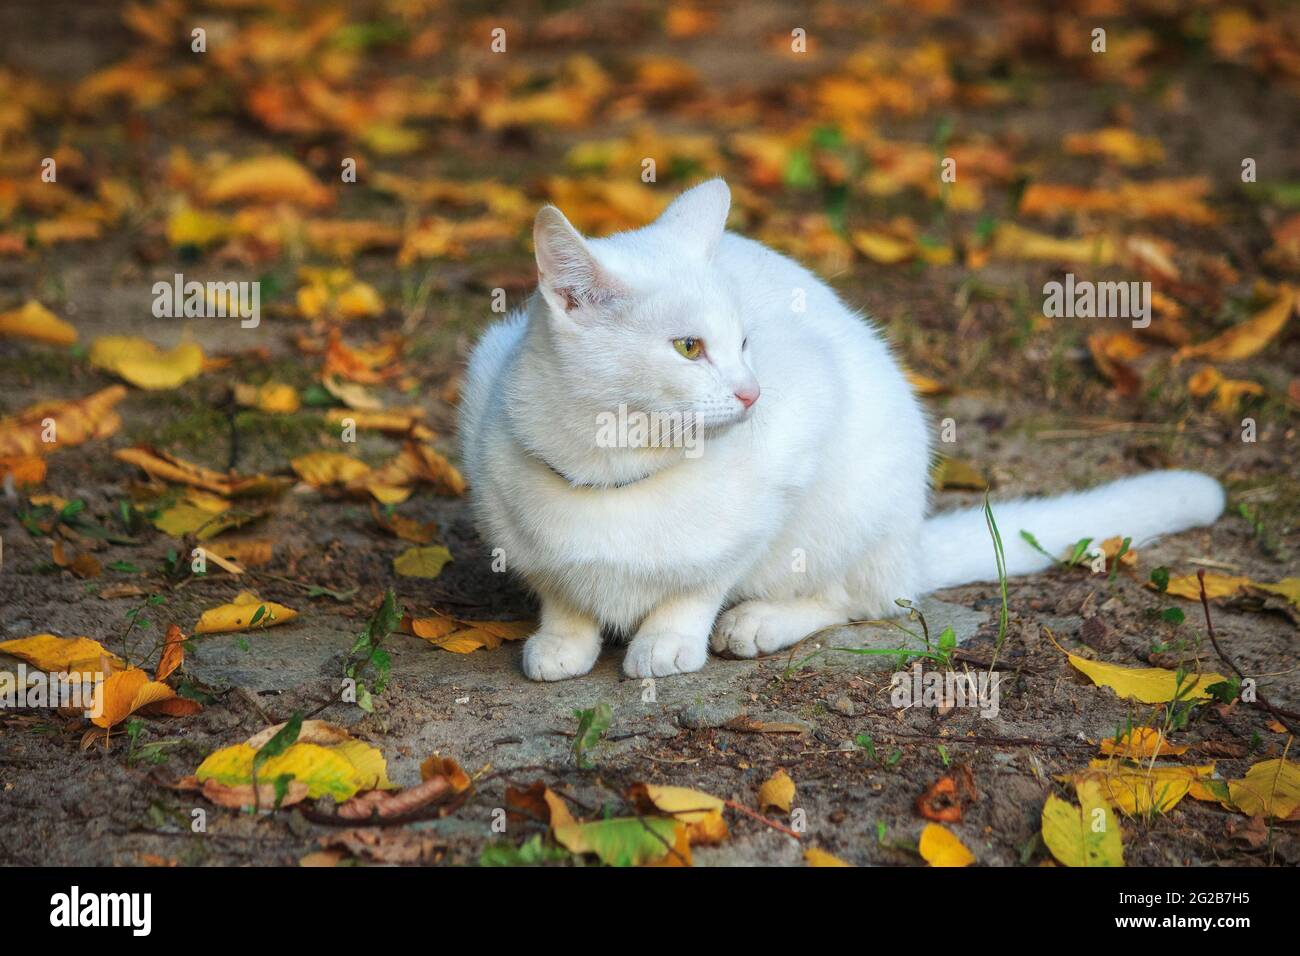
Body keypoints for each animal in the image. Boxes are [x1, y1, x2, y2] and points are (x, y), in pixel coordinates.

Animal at [460, 179, 1227, 686]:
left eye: (746, 343)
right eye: (687, 348)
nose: (753, 391)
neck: (616, 469)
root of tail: (912, 543)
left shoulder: (794, 450)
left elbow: (703, 580)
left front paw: (670, 637)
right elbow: (562, 590)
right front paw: (562, 639)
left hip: (851, 501)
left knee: (859, 599)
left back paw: (760, 622)